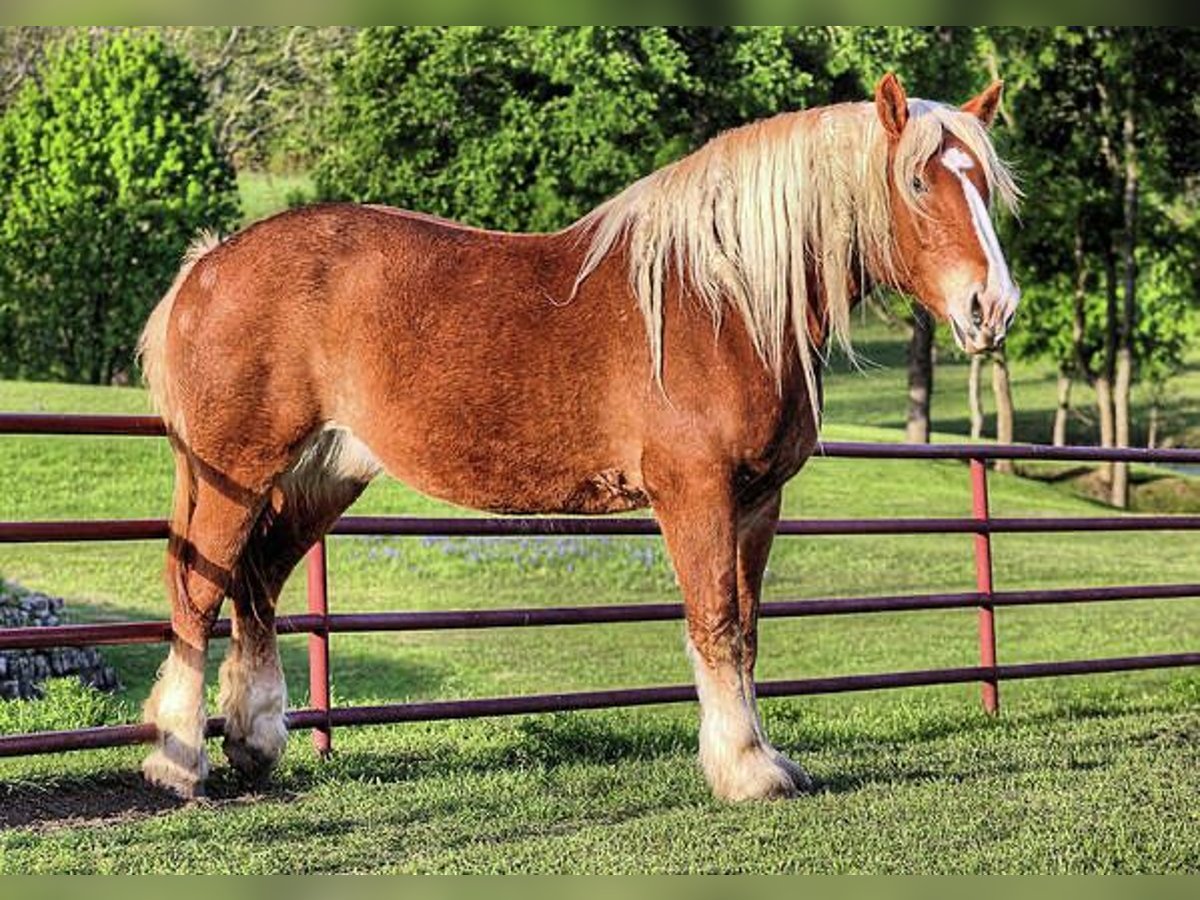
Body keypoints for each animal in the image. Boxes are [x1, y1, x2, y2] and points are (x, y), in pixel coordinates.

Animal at [136, 72, 1019, 801]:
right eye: (918, 182)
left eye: (986, 187)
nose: (993, 306)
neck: (724, 301)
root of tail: (208, 265)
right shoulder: (695, 495)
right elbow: (716, 624)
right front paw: (744, 770)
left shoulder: (758, 502)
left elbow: (747, 633)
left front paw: (765, 757)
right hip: (236, 470)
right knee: (199, 592)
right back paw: (179, 762)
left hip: (322, 474)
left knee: (258, 583)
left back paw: (253, 743)